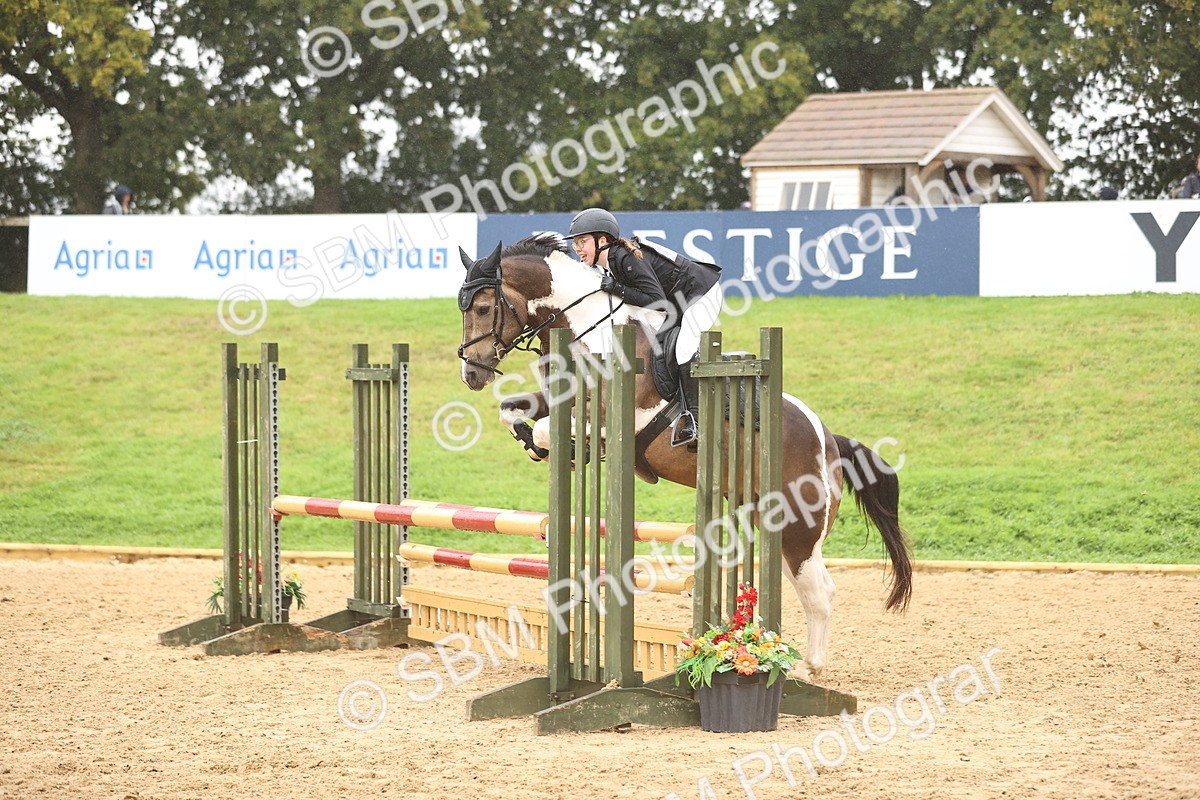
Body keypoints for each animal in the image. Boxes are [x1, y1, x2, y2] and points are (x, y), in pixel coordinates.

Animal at [455, 232, 912, 678]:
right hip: (768, 521)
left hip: (798, 526)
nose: (472, 374)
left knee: (819, 593)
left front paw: (555, 447)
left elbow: (549, 428)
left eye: (483, 307)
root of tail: (829, 439)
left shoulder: (616, 418)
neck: (587, 326)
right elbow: (513, 411)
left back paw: (806, 667)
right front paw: (535, 442)